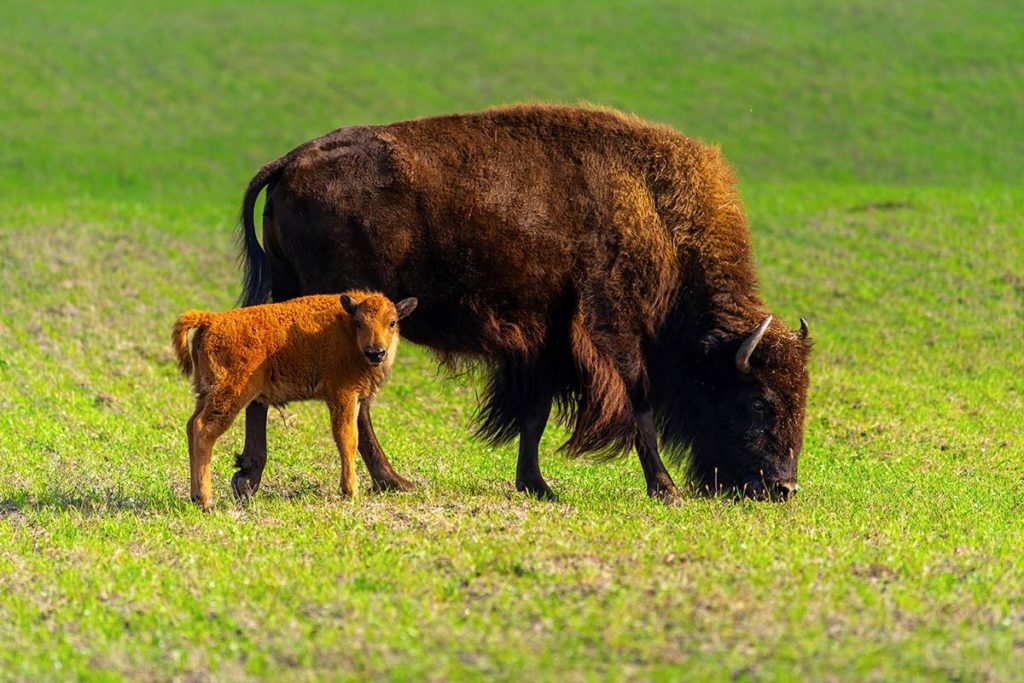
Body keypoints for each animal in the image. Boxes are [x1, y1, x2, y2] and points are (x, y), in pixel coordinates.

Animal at [172, 290, 415, 509]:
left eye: (392, 322)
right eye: (359, 322)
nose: (376, 353)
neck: (347, 332)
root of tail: (213, 320)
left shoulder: (354, 399)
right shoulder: (342, 396)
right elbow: (347, 439)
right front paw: (351, 491)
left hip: (205, 394)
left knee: (191, 426)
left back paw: (194, 496)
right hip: (229, 396)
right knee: (204, 431)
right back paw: (206, 501)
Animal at [235, 104, 811, 505]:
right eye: (758, 401)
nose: (782, 489)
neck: (655, 214)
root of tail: (288, 163)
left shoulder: (546, 344)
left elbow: (534, 415)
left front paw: (536, 484)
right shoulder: (612, 333)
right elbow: (639, 405)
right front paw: (665, 489)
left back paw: (253, 476)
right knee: (353, 401)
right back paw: (391, 480)